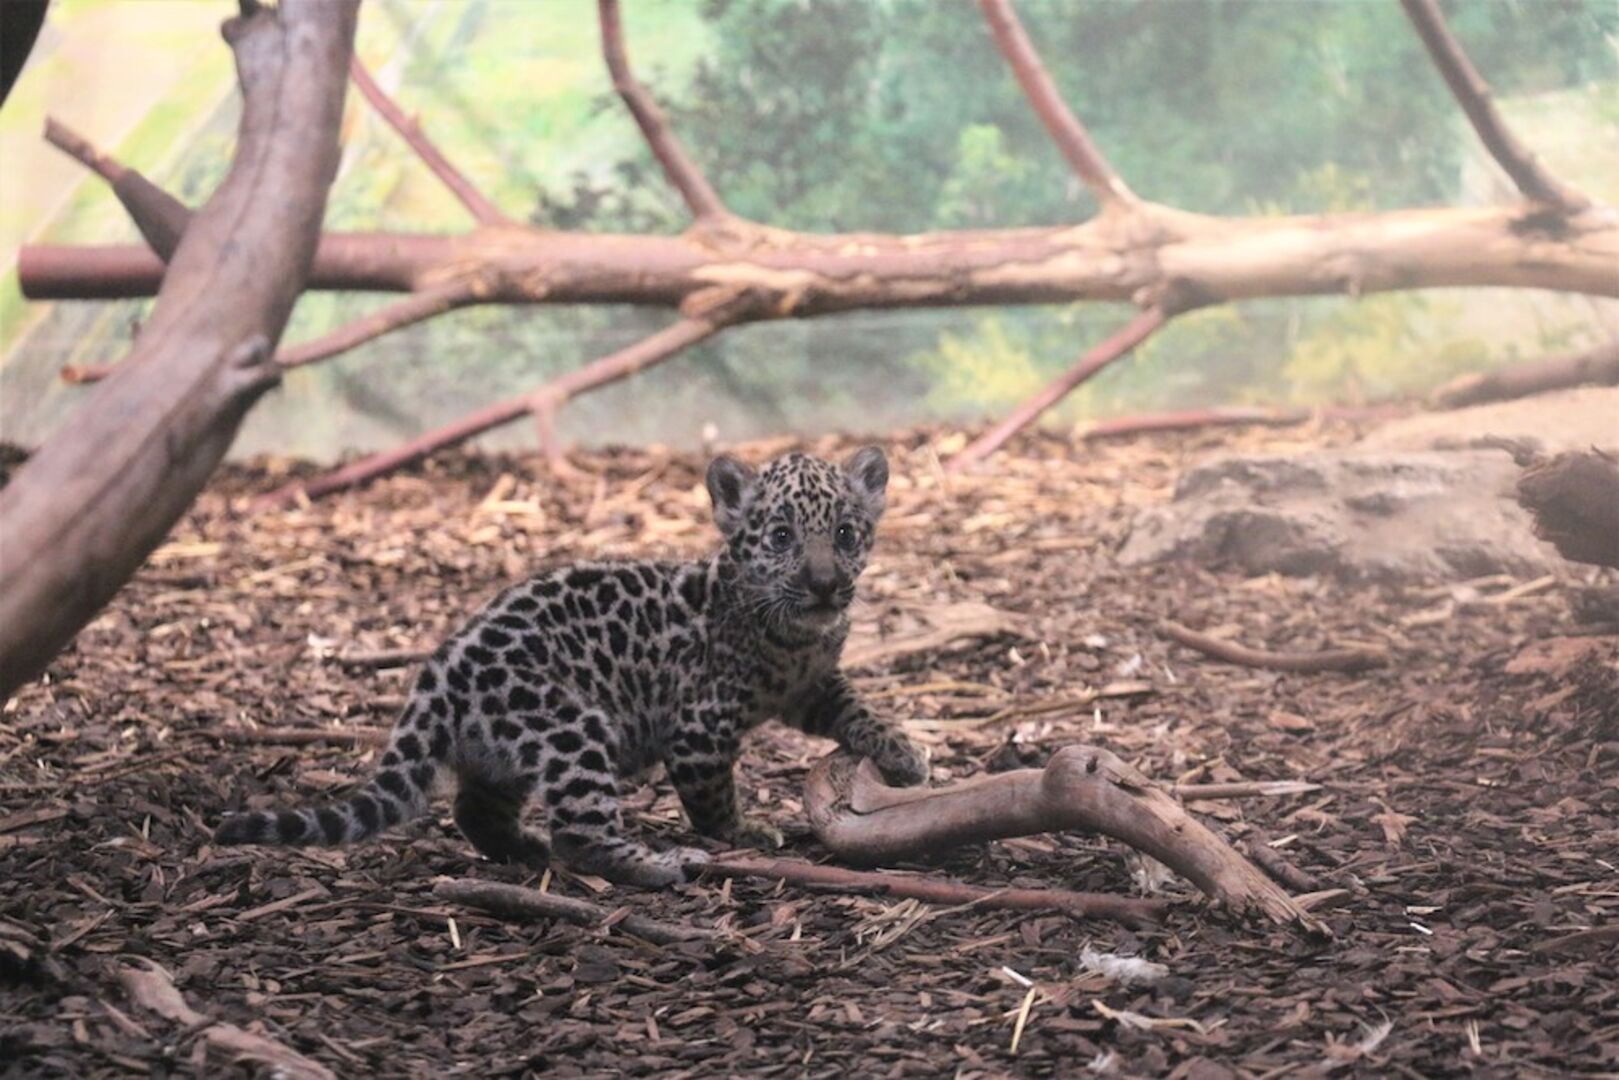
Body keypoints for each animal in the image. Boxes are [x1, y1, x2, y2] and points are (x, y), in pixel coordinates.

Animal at [214, 447, 930, 887]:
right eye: (781, 537)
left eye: (845, 533)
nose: (824, 585)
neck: (792, 638)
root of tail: (441, 671)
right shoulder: (700, 731)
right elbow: (711, 796)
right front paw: (741, 829)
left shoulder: (812, 685)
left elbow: (855, 709)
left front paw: (900, 751)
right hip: (570, 726)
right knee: (581, 834)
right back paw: (660, 862)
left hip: (502, 750)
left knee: (475, 809)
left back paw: (521, 847)